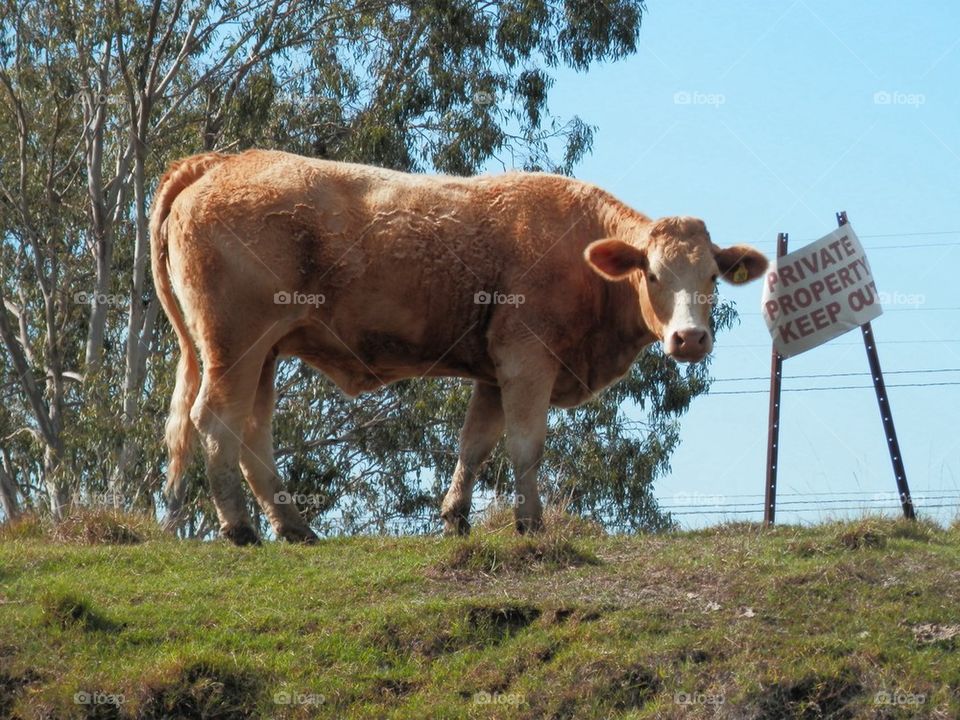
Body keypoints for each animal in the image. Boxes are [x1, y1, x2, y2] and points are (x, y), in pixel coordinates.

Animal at [150, 149, 767, 545]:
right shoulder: (527, 360)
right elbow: (525, 446)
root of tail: (223, 160)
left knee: (253, 432)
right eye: (653, 275)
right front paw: (530, 523)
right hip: (236, 343)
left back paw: (295, 528)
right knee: (215, 421)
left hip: (267, 351)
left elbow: (475, 446)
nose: (690, 338)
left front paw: (455, 519)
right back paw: (239, 529)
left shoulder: (494, 373)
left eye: (713, 278)